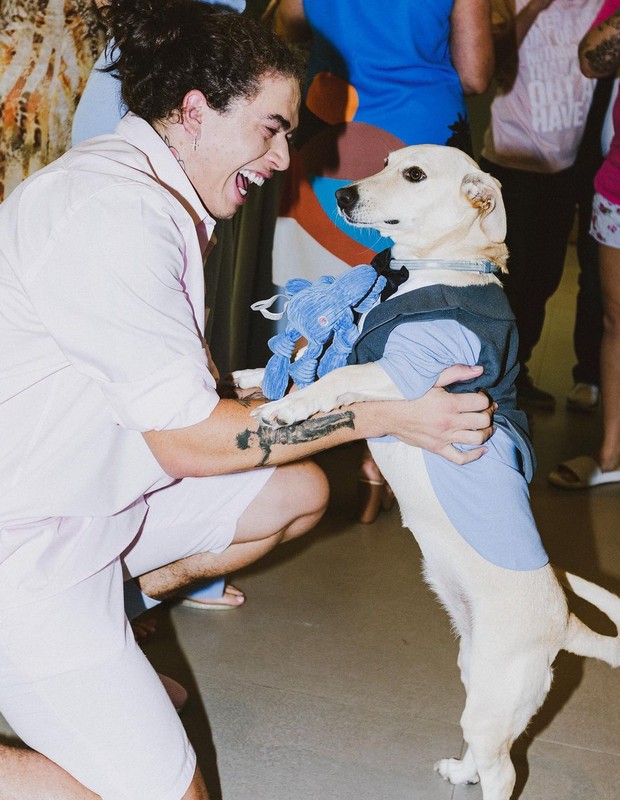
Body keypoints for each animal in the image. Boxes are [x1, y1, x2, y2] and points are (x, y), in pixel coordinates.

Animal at [235, 145, 620, 800]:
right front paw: (250, 375)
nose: (342, 194)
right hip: (475, 672)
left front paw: (287, 406)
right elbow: (310, 359)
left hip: (495, 696)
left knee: (504, 767)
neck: (437, 267)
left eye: (414, 175)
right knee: (485, 752)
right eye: (388, 161)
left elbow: (339, 374)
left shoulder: (407, 372)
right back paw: (459, 770)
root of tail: (565, 624)